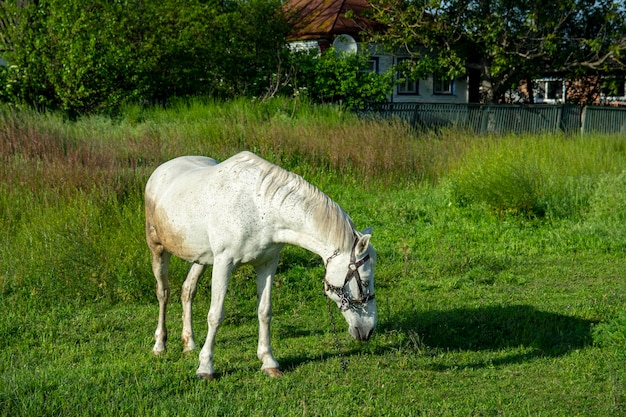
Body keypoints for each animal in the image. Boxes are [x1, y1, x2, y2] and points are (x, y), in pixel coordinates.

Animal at [144, 151, 372, 378]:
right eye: (365, 281)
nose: (368, 331)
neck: (259, 207)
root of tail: (160, 171)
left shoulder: (267, 264)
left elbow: (264, 311)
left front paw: (269, 362)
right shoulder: (224, 263)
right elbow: (215, 315)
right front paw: (205, 367)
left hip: (201, 257)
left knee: (187, 290)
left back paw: (189, 343)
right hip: (158, 249)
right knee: (163, 293)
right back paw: (159, 345)